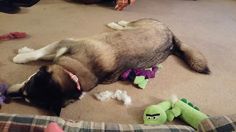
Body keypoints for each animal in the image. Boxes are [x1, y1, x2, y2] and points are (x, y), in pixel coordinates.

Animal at [7, 18, 210, 115]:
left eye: (27, 89)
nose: (7, 93)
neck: (75, 74)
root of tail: (172, 39)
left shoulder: (67, 43)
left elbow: (40, 53)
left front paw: (21, 56)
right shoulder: (65, 47)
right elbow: (45, 53)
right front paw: (26, 50)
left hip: (142, 23)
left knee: (127, 25)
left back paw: (116, 23)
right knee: (125, 27)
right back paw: (116, 24)